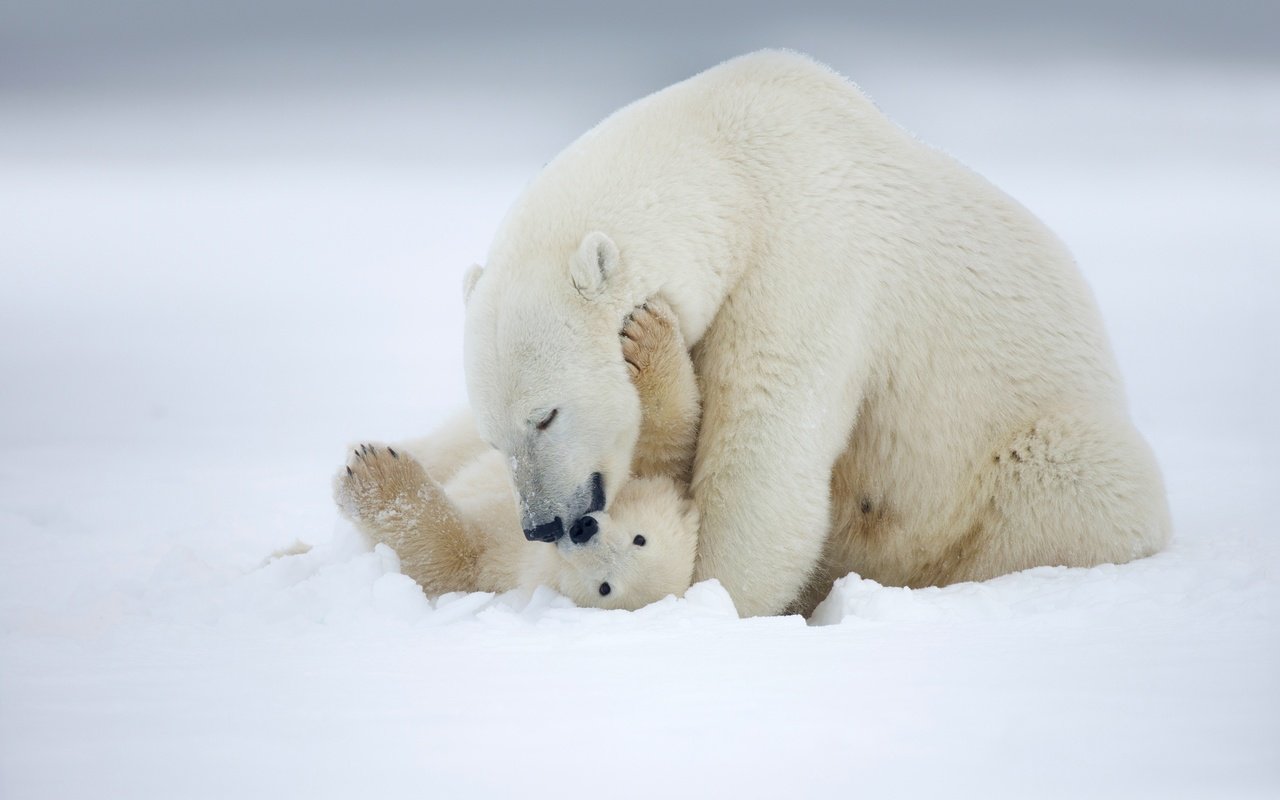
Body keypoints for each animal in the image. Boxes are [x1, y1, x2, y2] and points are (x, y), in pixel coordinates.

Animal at [453, 51, 1172, 616]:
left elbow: (765, 448)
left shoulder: (807, 259)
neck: (733, 163)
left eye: (545, 415)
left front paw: (708, 597)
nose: (543, 523)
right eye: (496, 435)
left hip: (1030, 450)